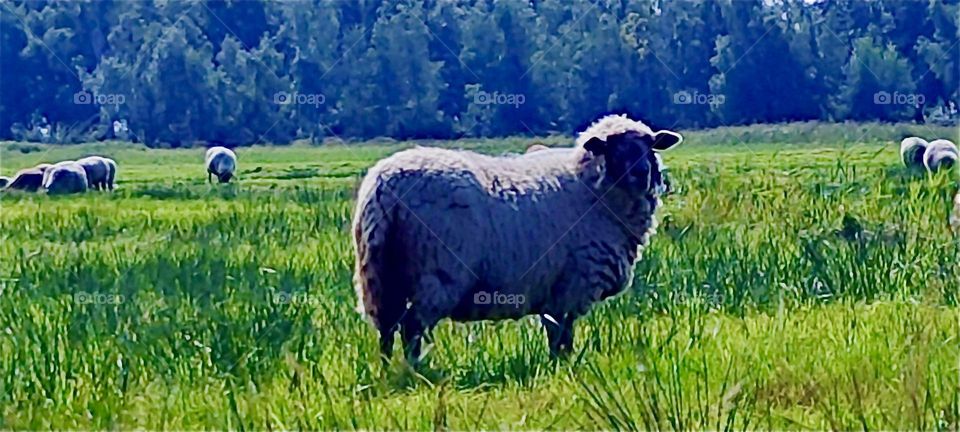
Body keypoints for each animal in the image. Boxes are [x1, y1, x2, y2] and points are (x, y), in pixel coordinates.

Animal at [353, 114, 683, 365]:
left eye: (650, 146)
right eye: (613, 148)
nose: (642, 173)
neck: (593, 192)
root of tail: (385, 186)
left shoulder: (553, 290)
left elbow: (555, 333)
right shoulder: (572, 284)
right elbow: (562, 335)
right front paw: (564, 367)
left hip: (380, 272)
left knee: (386, 327)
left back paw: (388, 370)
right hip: (437, 274)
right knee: (411, 327)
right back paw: (415, 369)